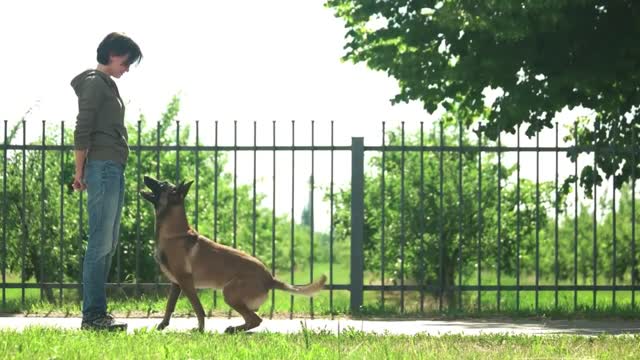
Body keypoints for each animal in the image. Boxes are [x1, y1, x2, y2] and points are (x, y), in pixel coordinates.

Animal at [142, 176, 328, 334]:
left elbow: (198, 308)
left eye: (162, 184)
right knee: (252, 319)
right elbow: (169, 306)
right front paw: (163, 325)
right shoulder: (176, 284)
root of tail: (270, 278)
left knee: (255, 319)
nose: (145, 177)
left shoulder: (186, 282)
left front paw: (200, 329)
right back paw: (235, 329)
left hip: (229, 293)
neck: (175, 233)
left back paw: (233, 329)